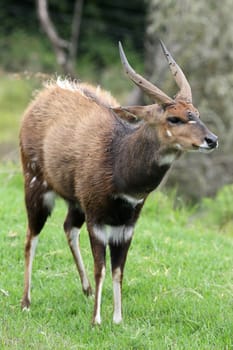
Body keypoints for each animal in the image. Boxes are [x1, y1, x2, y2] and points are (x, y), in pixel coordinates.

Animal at [20, 41, 218, 326]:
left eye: (197, 114)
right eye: (174, 118)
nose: (212, 140)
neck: (117, 161)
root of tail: (45, 92)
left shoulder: (126, 225)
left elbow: (118, 271)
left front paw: (117, 319)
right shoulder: (97, 220)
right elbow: (101, 268)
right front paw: (96, 321)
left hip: (75, 203)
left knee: (68, 227)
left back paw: (86, 290)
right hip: (35, 184)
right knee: (31, 237)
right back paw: (26, 302)